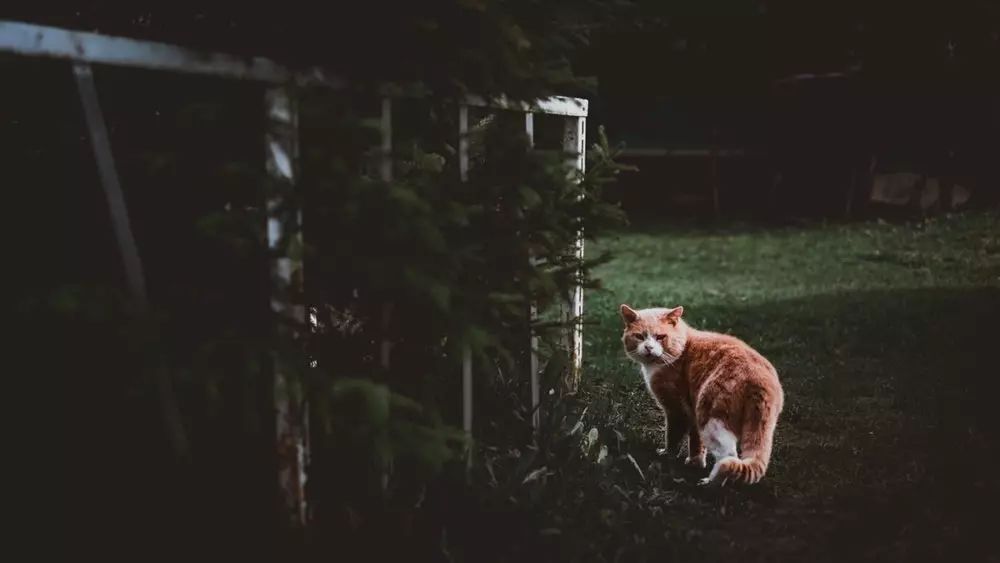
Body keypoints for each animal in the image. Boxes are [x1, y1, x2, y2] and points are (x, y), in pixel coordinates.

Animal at [620, 304, 784, 484]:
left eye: (660, 337)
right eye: (639, 336)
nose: (648, 347)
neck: (681, 350)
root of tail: (759, 379)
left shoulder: (677, 410)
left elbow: (673, 437)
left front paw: (667, 455)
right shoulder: (692, 409)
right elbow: (696, 441)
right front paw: (695, 463)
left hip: (712, 419)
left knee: (729, 456)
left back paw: (710, 482)